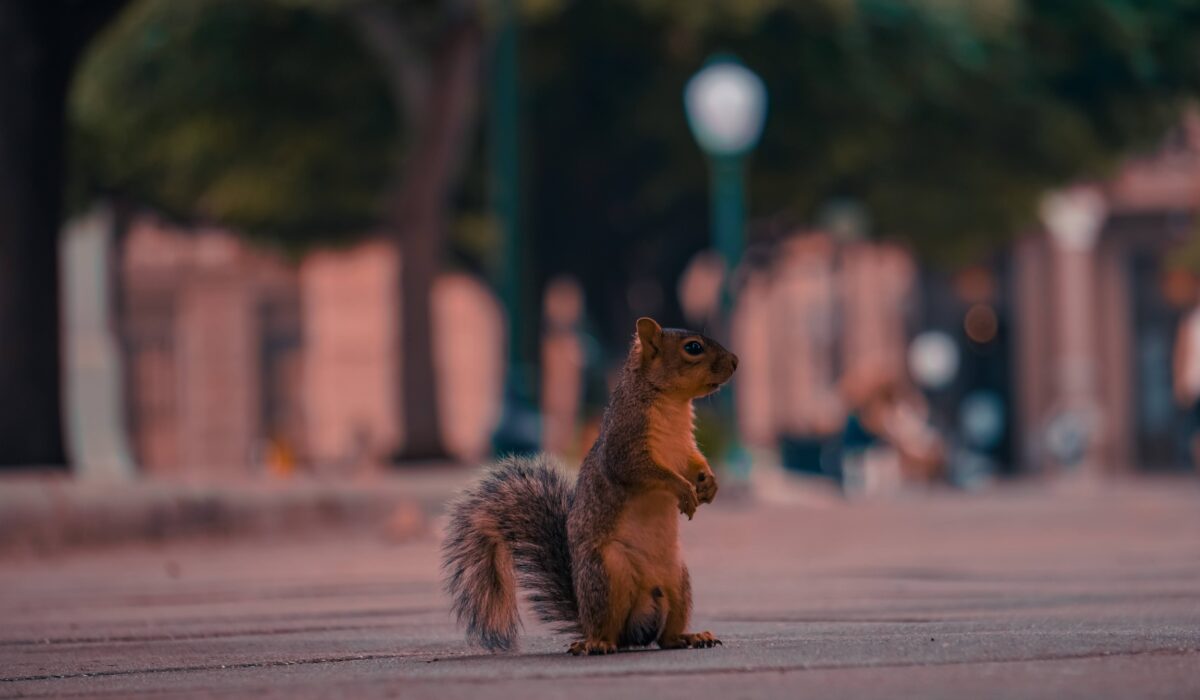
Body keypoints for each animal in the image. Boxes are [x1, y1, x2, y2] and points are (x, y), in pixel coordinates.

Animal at [444, 316, 734, 657]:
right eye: (693, 348)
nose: (735, 362)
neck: (672, 405)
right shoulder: (625, 446)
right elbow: (649, 473)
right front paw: (685, 491)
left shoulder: (684, 447)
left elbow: (694, 463)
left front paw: (709, 483)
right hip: (607, 575)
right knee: (608, 627)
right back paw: (597, 643)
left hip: (678, 581)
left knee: (666, 637)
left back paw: (690, 636)